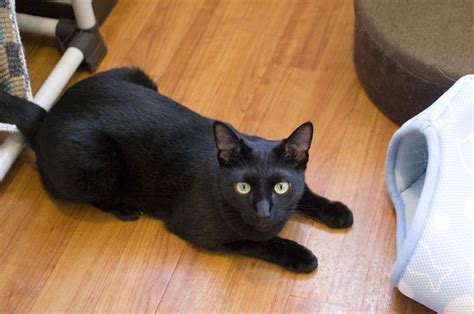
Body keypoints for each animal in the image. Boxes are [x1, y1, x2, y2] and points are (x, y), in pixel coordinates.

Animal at [0, 67, 352, 272]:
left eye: (281, 187)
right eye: (243, 187)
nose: (264, 211)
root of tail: (46, 116)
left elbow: (307, 193)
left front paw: (338, 212)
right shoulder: (201, 231)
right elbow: (258, 243)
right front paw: (301, 256)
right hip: (96, 163)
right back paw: (124, 208)